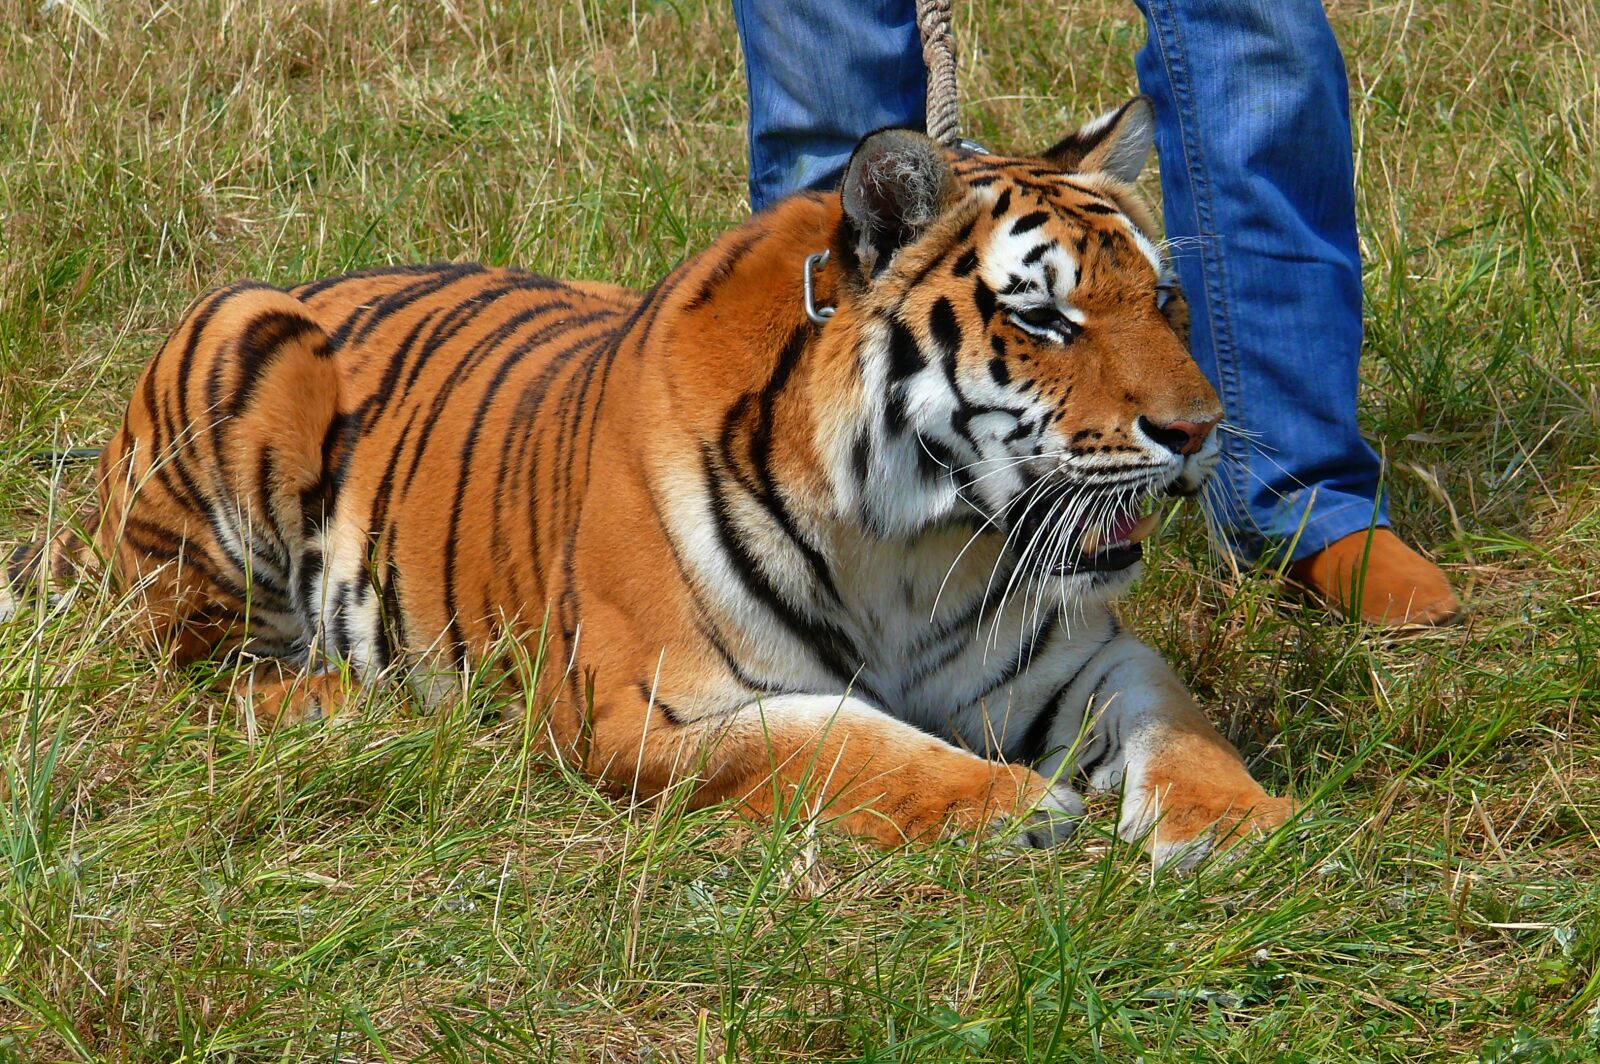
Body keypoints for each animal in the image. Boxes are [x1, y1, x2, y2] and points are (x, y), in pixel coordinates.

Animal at [3, 96, 1293, 867]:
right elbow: (845, 742)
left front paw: (1241, 821)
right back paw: (353, 706)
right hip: (239, 340)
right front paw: (1015, 804)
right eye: (1042, 317)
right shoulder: (647, 705)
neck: (910, 537)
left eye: (1163, 301)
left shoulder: (1077, 655)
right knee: (196, 664)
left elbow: (1174, 720)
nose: (1199, 430)